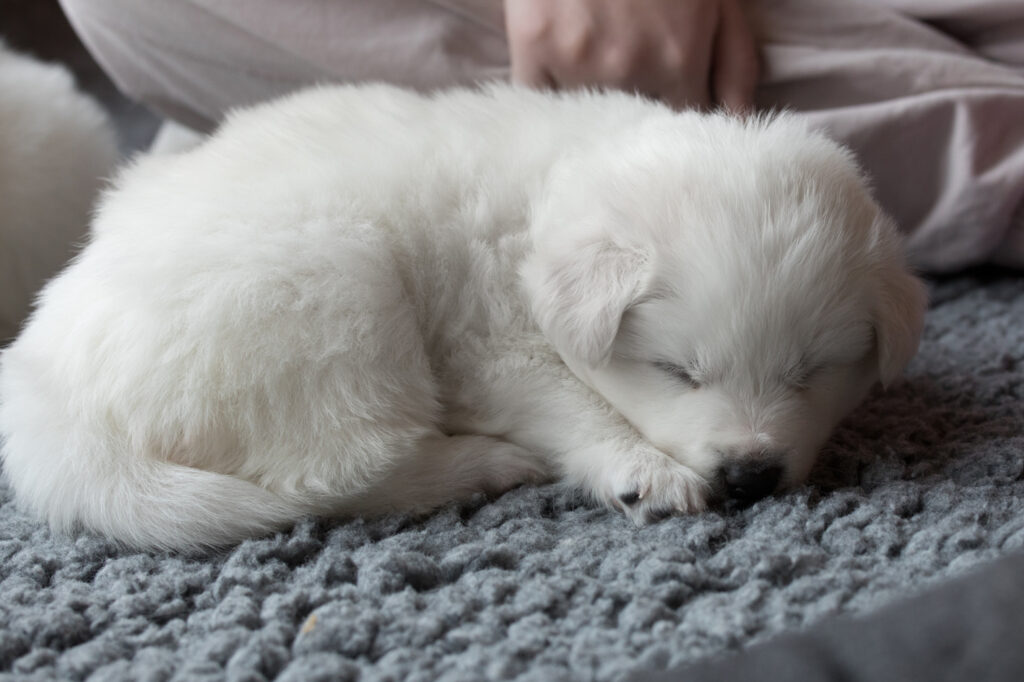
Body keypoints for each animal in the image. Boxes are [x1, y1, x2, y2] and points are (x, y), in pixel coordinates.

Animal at [0, 84, 926, 551]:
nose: (751, 475)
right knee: (333, 479)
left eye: (813, 371)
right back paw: (483, 465)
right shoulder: (490, 346)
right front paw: (643, 472)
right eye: (677, 371)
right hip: (336, 290)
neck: (548, 204)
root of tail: (47, 390)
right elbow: (574, 404)